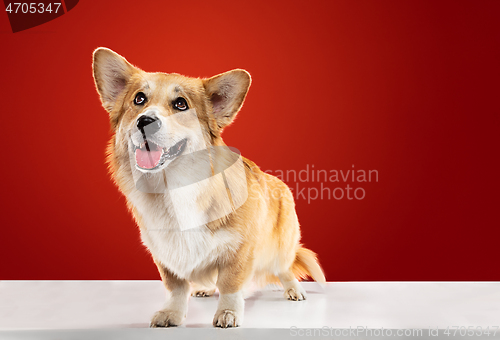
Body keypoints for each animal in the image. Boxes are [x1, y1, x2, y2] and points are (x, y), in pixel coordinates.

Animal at [91, 47, 324, 326]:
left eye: (181, 104)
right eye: (139, 99)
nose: (145, 121)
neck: (174, 189)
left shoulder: (239, 249)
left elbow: (230, 283)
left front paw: (228, 313)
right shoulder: (165, 253)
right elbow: (177, 287)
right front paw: (172, 313)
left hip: (280, 246)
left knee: (284, 268)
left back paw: (294, 290)